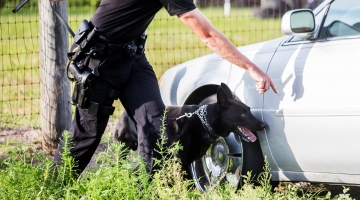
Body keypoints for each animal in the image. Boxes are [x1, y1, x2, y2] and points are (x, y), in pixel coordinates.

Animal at [114, 83, 266, 173]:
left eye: (249, 110)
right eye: (243, 114)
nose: (264, 125)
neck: (203, 122)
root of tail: (125, 113)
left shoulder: (188, 162)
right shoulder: (180, 161)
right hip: (122, 149)